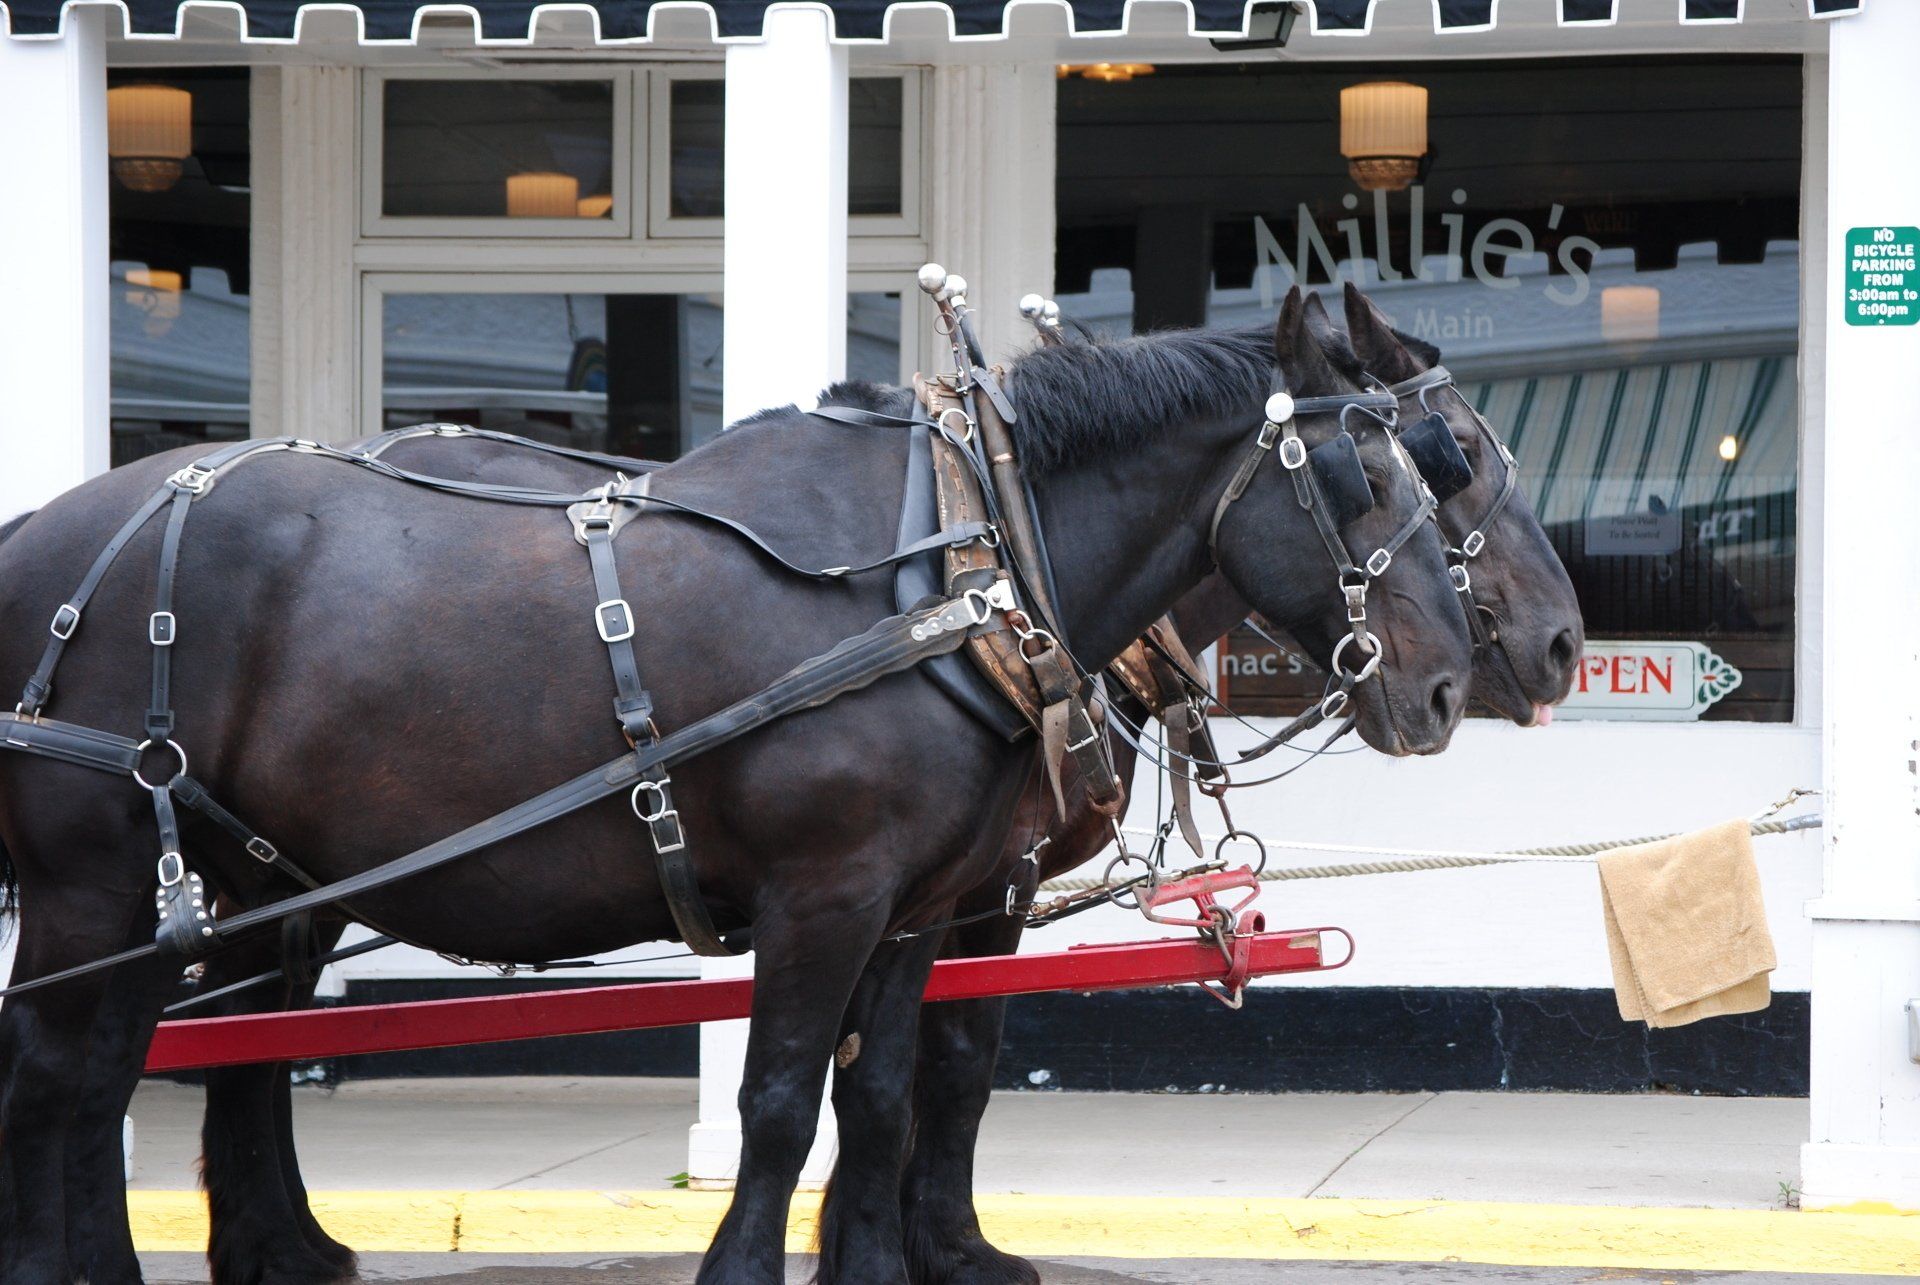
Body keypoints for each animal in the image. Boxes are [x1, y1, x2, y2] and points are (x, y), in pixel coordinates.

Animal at [0, 288, 1472, 1284]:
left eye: (1434, 463)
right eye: (1368, 469)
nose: (1456, 684)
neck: (959, 566)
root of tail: (41, 533)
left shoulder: (919, 904)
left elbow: (879, 1096)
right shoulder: (824, 892)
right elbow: (778, 1102)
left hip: (208, 879)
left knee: (115, 1077)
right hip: (92, 881)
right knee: (56, 1080)